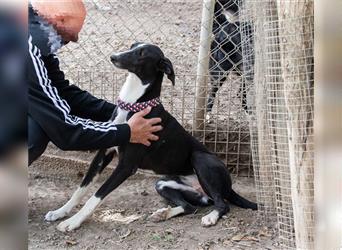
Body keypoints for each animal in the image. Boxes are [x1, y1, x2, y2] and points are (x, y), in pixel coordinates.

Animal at [44, 42, 256, 231]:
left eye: (142, 54)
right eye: (132, 46)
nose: (113, 56)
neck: (133, 105)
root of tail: (227, 187)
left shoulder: (126, 166)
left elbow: (96, 196)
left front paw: (73, 222)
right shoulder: (103, 153)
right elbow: (81, 188)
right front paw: (61, 212)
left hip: (201, 159)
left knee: (222, 204)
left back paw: (211, 217)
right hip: (162, 183)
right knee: (191, 207)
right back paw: (163, 214)